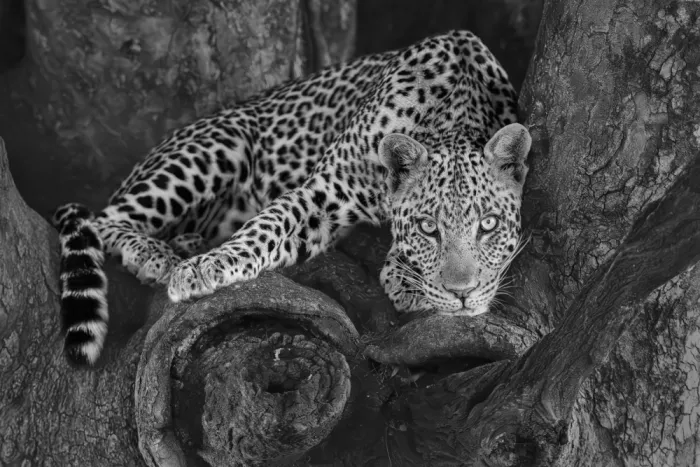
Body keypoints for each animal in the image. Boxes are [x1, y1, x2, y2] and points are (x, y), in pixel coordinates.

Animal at [52, 30, 531, 366]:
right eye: (428, 228)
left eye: (488, 225)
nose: (463, 295)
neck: (452, 111)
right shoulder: (323, 192)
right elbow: (266, 227)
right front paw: (203, 270)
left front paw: (405, 277)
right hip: (218, 146)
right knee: (102, 219)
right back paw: (158, 256)